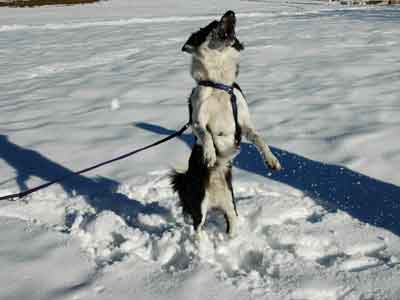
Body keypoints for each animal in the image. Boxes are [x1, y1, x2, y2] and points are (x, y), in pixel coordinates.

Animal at [171, 9, 282, 239]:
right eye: (213, 25)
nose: (230, 12)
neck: (219, 85)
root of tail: (214, 201)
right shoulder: (196, 120)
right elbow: (206, 135)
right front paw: (210, 154)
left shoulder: (244, 123)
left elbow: (259, 138)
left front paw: (271, 160)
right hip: (199, 205)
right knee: (197, 228)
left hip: (231, 207)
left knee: (230, 226)